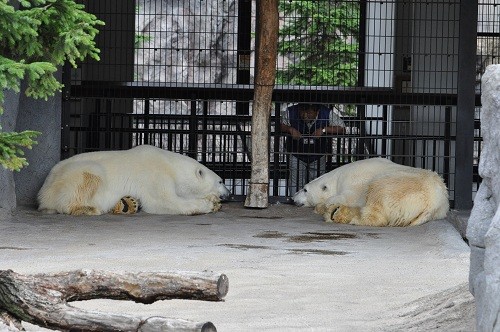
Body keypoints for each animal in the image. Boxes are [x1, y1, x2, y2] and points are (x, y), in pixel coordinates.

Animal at [38, 145, 231, 215]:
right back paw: (89, 208)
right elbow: (163, 201)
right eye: (221, 181)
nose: (229, 194)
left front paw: (214, 200)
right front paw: (208, 204)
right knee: (90, 177)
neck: (171, 165)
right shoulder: (155, 175)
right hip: (74, 175)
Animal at [292, 158, 450, 226]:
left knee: (377, 199)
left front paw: (321, 206)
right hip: (439, 210)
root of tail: (433, 203)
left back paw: (341, 215)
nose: (292, 198)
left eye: (305, 189)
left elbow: (347, 197)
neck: (338, 177)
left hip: (398, 186)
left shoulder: (355, 181)